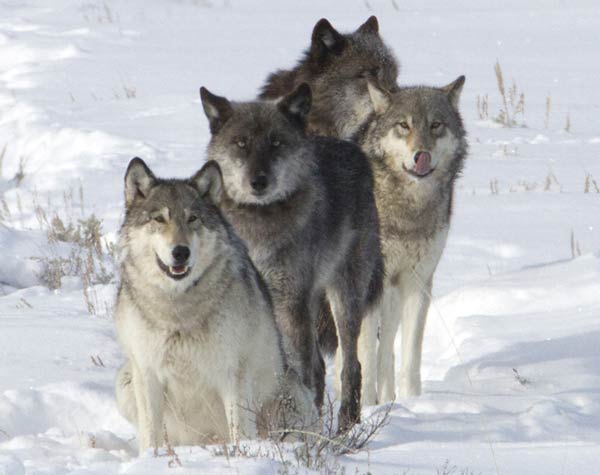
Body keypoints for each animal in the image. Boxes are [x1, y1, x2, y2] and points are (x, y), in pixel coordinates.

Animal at [115, 158, 316, 456]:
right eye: (159, 219)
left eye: (192, 218)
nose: (180, 252)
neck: (178, 308)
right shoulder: (146, 372)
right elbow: (150, 435)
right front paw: (149, 458)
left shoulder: (233, 373)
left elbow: (240, 432)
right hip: (125, 381)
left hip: (289, 391)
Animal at [199, 82, 382, 432]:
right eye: (241, 143)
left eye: (275, 142)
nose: (258, 181)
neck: (258, 224)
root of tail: (353, 148)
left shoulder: (289, 301)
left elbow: (299, 366)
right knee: (320, 367)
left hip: (343, 296)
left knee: (351, 364)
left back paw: (345, 425)